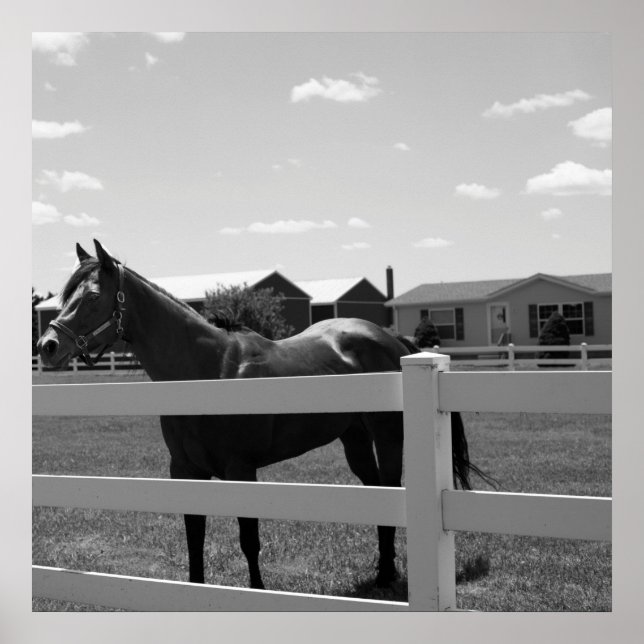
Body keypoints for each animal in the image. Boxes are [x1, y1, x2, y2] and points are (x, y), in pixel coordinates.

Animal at [37, 239, 486, 590]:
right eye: (64, 297)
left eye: (92, 297)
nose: (47, 346)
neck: (207, 371)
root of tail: (390, 338)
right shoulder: (184, 470)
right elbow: (194, 535)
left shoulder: (241, 470)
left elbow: (248, 538)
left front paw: (258, 590)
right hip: (354, 439)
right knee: (376, 495)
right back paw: (380, 574)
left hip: (389, 436)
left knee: (391, 490)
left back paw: (388, 576)